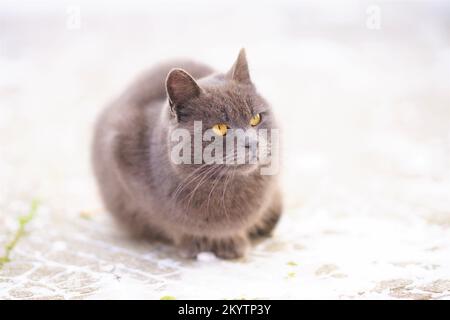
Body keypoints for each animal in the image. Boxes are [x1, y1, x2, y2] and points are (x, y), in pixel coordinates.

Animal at [91, 50, 282, 260]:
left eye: (256, 118)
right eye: (220, 128)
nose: (253, 142)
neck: (225, 186)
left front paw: (230, 240)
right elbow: (167, 221)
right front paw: (203, 242)